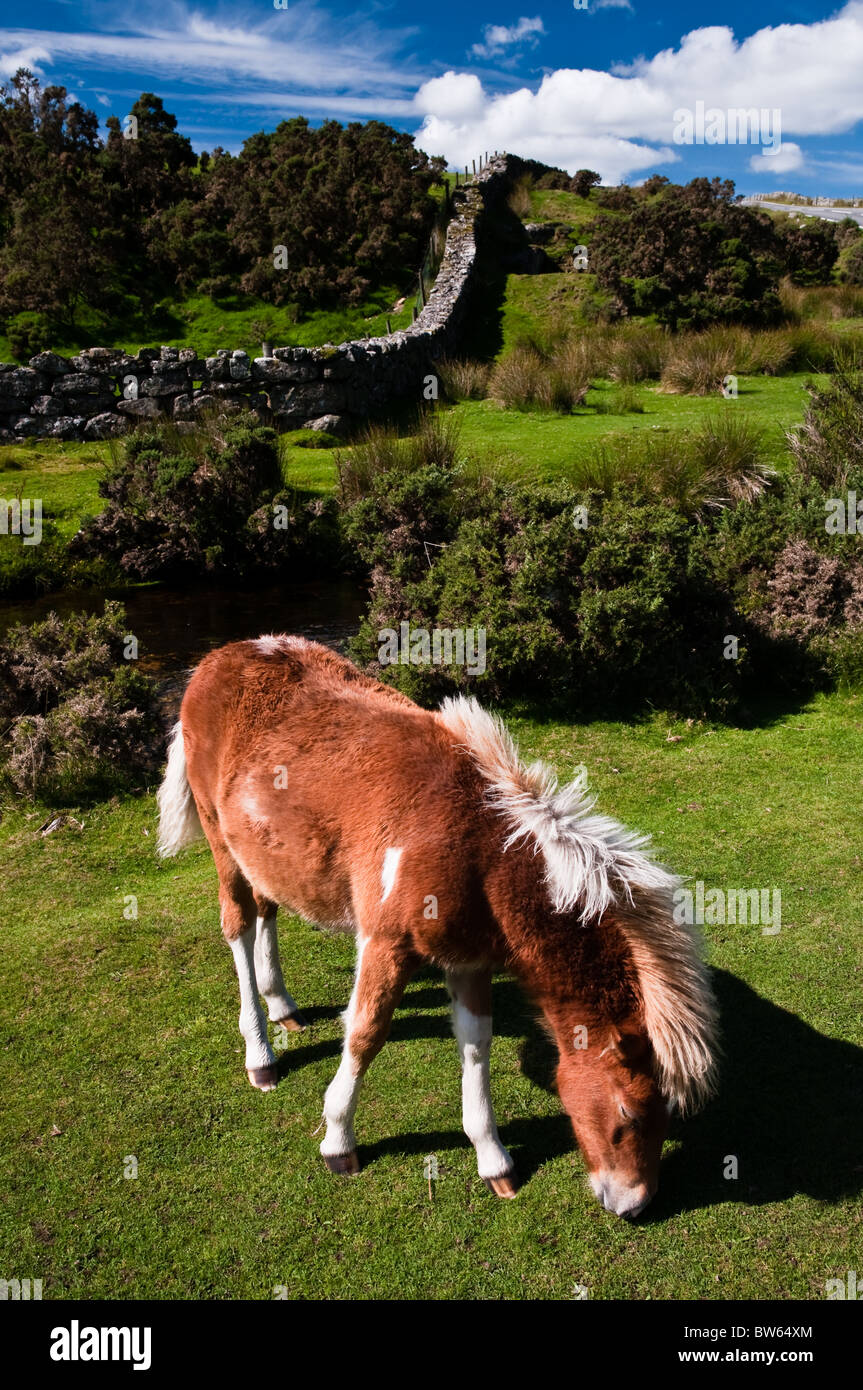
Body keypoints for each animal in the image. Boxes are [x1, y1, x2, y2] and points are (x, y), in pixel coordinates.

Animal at [157, 634, 718, 1216]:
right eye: (629, 1114)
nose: (633, 1203)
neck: (480, 852)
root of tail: (218, 659)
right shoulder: (386, 944)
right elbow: (364, 1033)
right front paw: (338, 1141)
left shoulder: (468, 959)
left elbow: (476, 1044)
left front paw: (493, 1160)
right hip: (222, 844)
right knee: (239, 926)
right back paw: (260, 1053)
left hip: (264, 852)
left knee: (267, 909)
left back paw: (282, 1005)